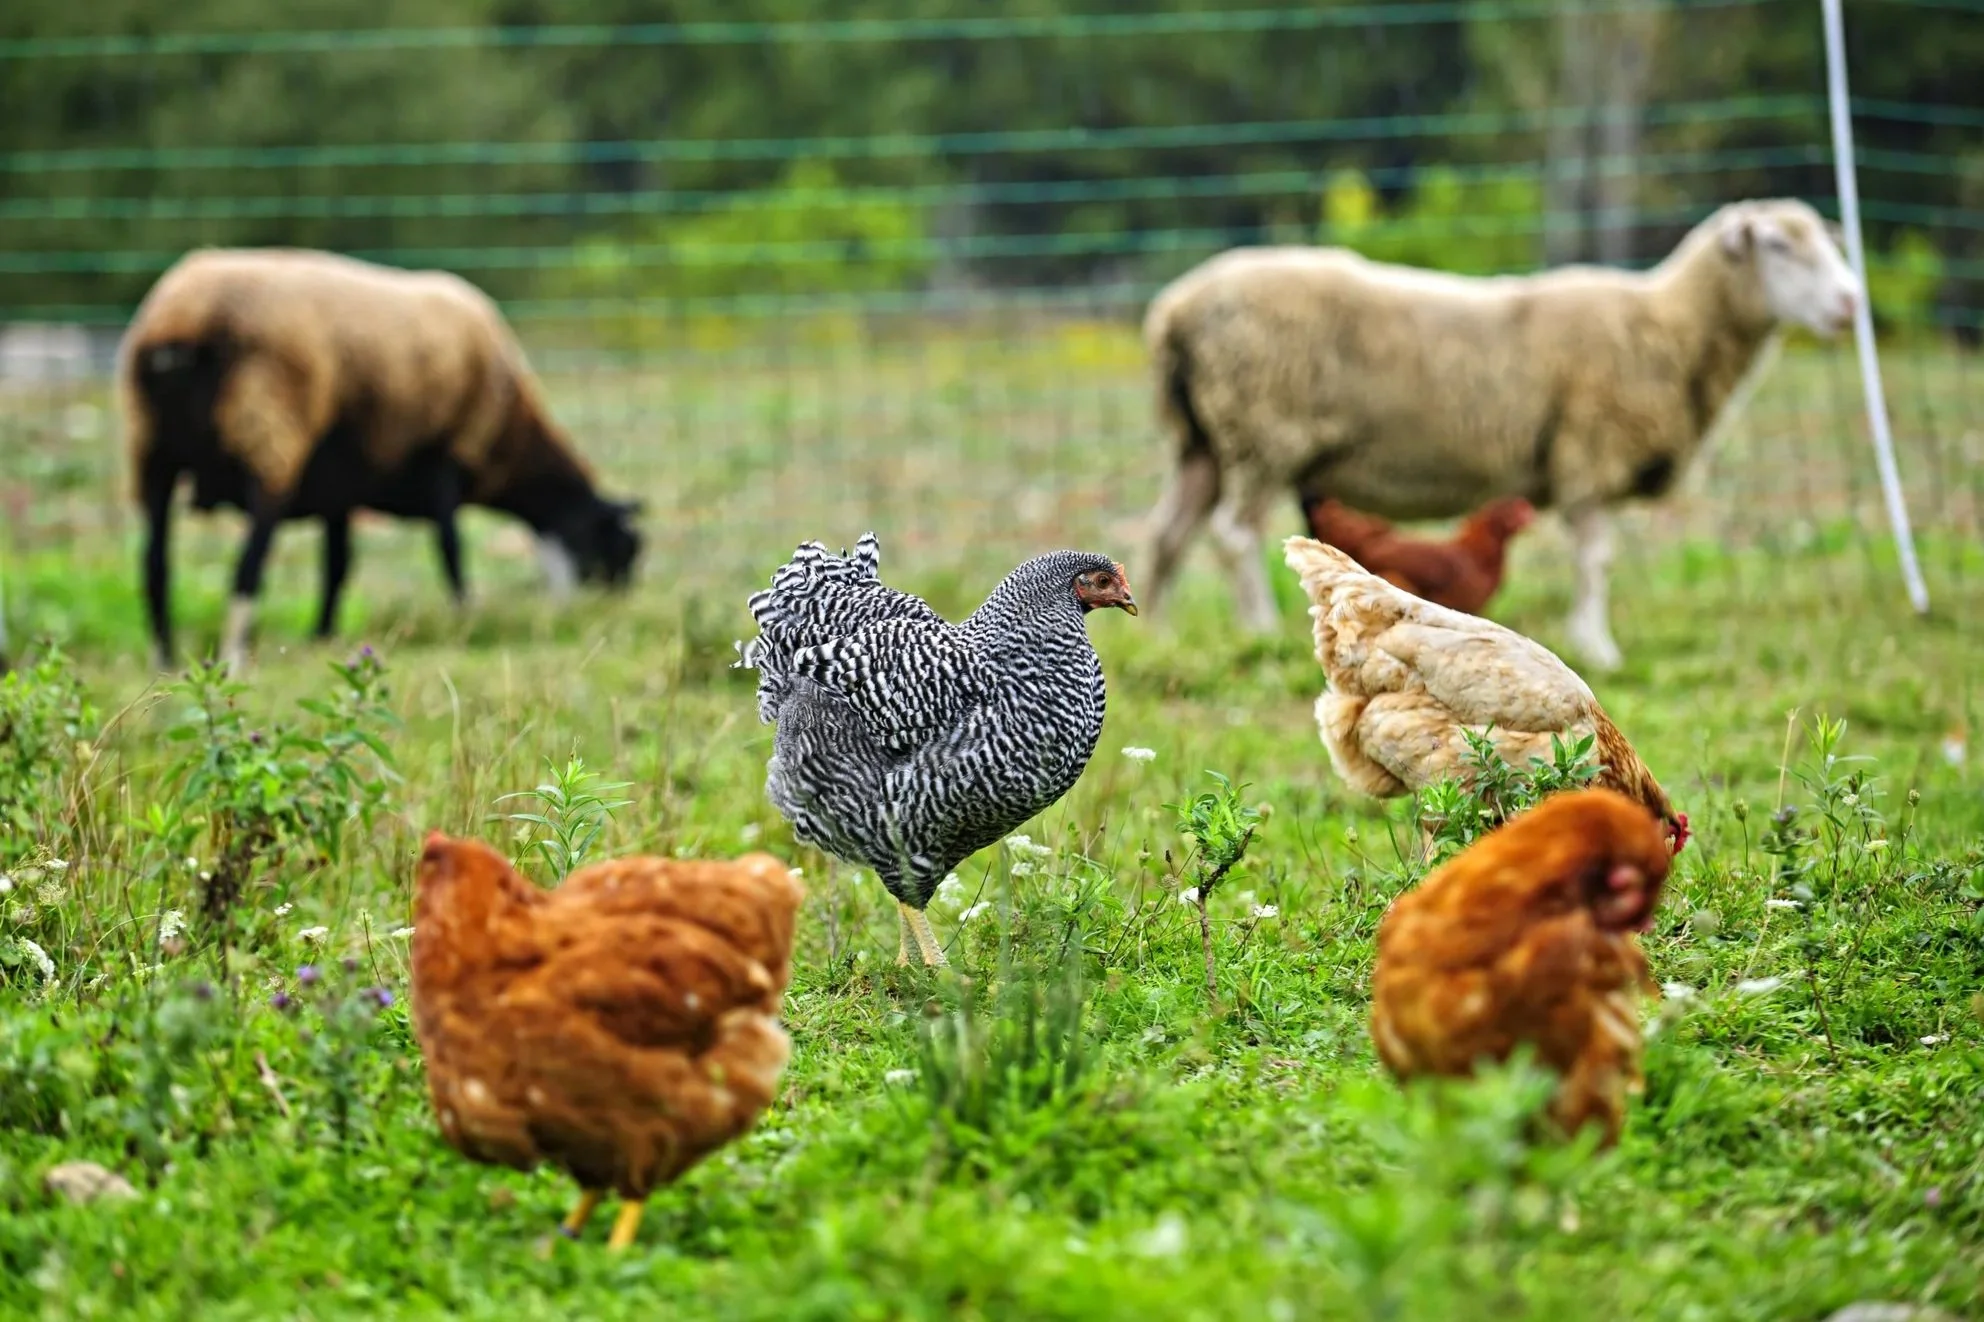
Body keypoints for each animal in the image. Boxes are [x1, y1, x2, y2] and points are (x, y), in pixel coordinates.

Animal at [120, 248, 643, 671]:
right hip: (269, 439)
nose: (611, 608)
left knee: (154, 565)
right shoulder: (444, 459)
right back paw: (232, 657)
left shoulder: (338, 489)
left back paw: (164, 660)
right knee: (247, 566)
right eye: (621, 548)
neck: (508, 437)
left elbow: (337, 567)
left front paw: (323, 636)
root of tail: (185, 321)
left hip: (151, 449)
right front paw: (465, 616)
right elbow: (450, 548)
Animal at [1136, 198, 1860, 670]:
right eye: (1778, 245)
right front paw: (1598, 647)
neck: (1673, 327)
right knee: (1234, 536)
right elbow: (1597, 561)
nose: (1851, 303)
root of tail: (1175, 310)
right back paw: (1260, 631)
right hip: (1261, 432)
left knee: (1169, 534)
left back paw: (1161, 633)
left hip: (1202, 442)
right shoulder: (1589, 451)